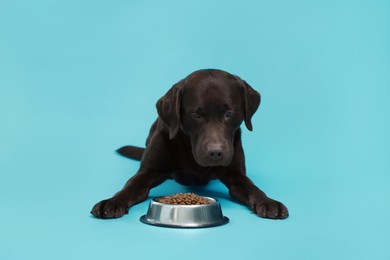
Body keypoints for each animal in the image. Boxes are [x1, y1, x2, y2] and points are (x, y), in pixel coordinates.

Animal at [90, 68, 288, 219]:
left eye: (230, 113)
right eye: (196, 115)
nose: (215, 152)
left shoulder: (235, 173)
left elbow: (252, 187)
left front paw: (268, 202)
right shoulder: (148, 170)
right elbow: (130, 186)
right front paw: (112, 202)